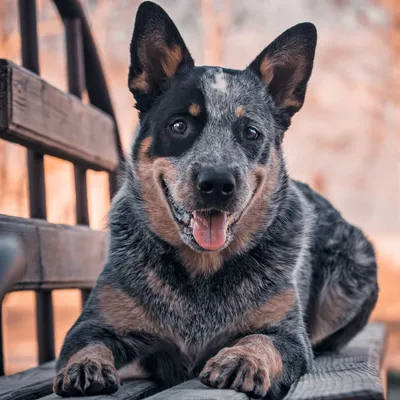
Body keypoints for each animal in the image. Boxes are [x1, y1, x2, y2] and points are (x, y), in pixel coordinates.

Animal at [53, 2, 378, 396]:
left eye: (251, 132)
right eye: (179, 125)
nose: (218, 183)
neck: (201, 270)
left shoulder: (287, 335)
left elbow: (259, 339)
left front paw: (241, 358)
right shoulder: (93, 323)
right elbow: (87, 344)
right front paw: (86, 366)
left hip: (354, 267)